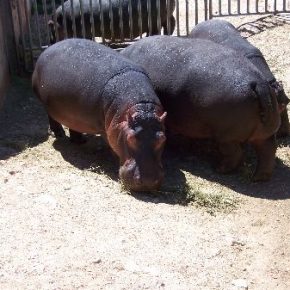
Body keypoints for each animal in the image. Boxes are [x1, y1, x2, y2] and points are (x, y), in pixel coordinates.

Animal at [32, 39, 167, 193]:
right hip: (45, 104)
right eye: (130, 138)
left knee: (73, 126)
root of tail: (47, 49)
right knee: (51, 117)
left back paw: (80, 141)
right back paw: (60, 134)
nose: (148, 182)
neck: (141, 105)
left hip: (74, 114)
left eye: (163, 138)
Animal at [121, 35, 282, 180]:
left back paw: (219, 169)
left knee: (235, 153)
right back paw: (259, 177)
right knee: (268, 150)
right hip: (263, 134)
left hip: (226, 136)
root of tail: (259, 84)